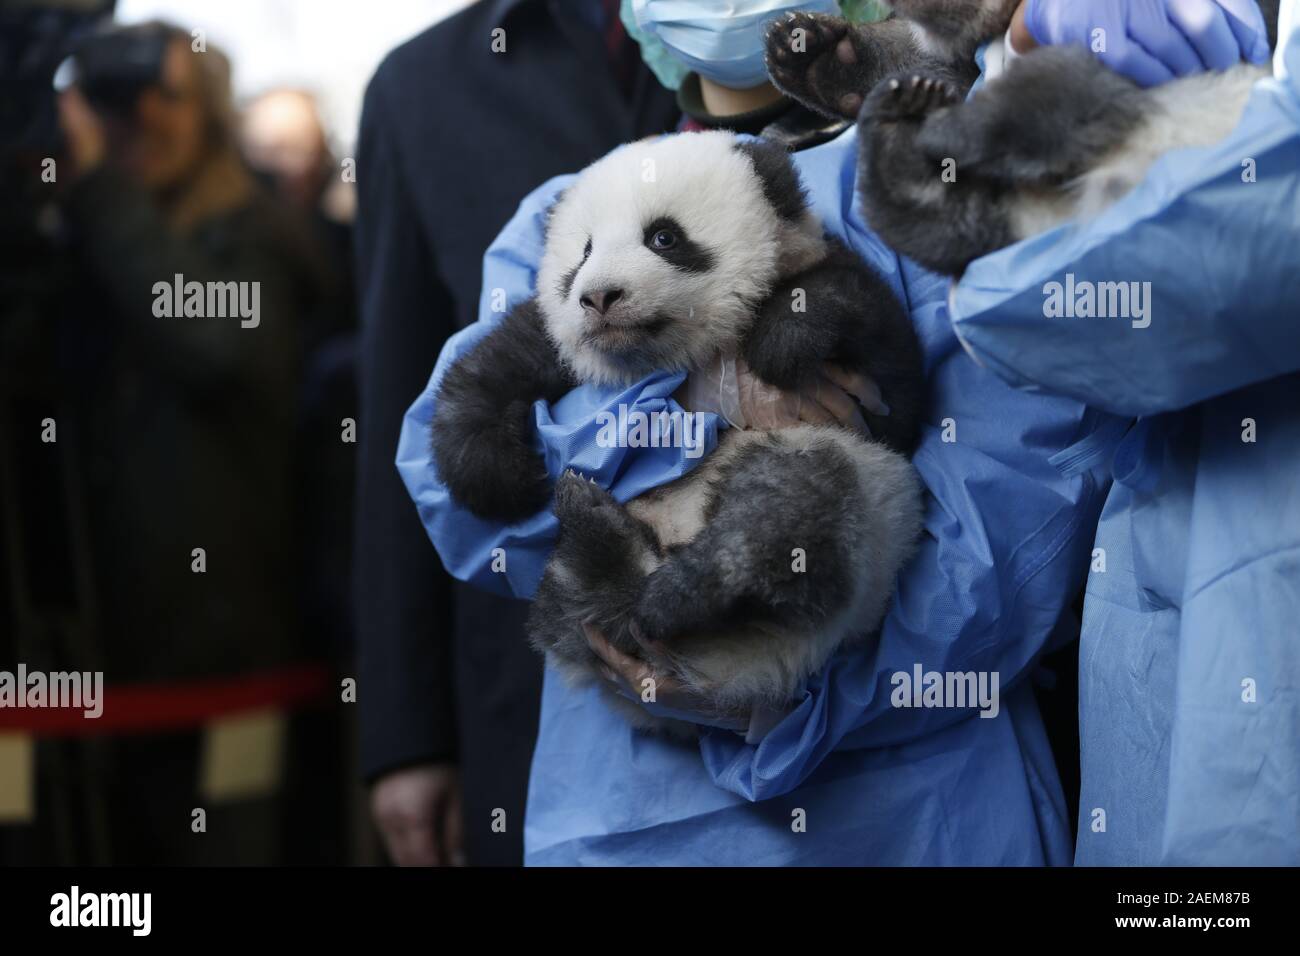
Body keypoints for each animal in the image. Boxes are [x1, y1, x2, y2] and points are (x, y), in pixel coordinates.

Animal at [430, 131, 926, 732]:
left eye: (663, 237)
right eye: (584, 253)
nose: (599, 297)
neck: (663, 357)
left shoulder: (858, 375)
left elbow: (894, 390)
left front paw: (781, 343)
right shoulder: (556, 345)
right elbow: (494, 365)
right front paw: (501, 476)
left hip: (852, 486)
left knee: (790, 511)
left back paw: (680, 590)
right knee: (581, 604)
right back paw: (596, 535)